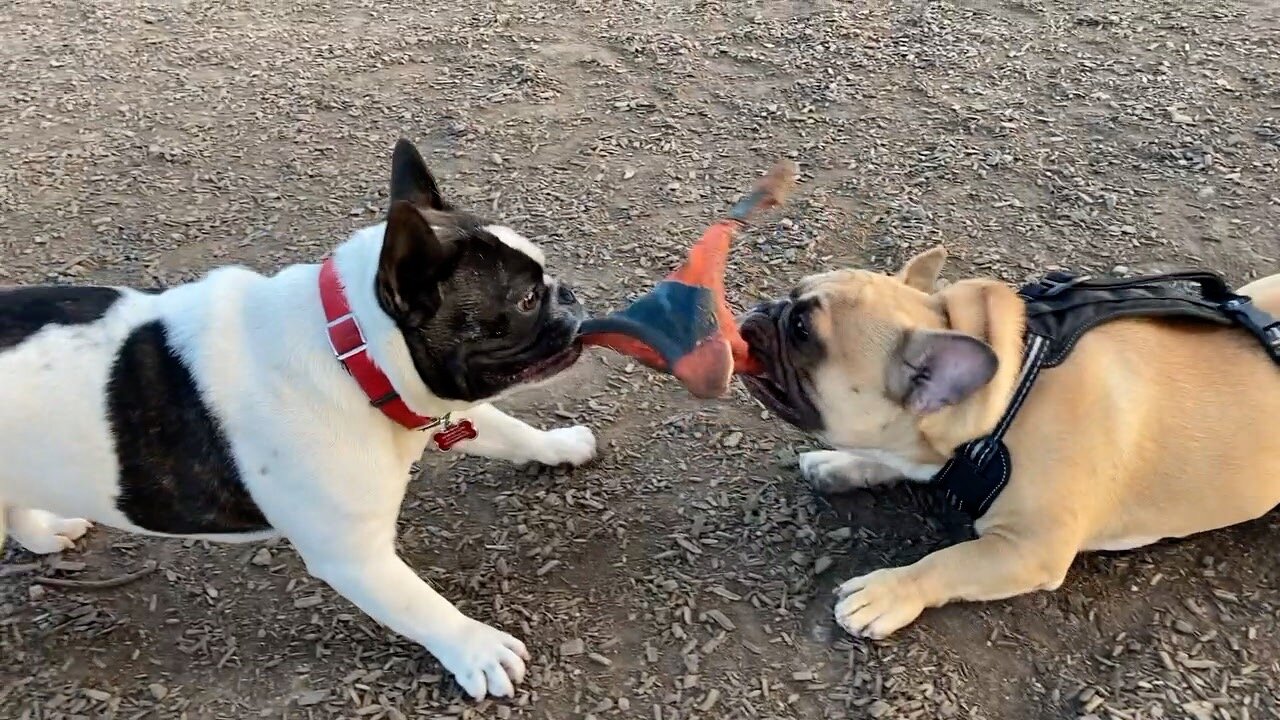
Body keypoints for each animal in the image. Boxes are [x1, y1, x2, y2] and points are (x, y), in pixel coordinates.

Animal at [0, 139, 596, 696]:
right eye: (525, 300)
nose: (567, 291)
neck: (352, 354)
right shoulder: (355, 558)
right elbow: (419, 605)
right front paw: (477, 649)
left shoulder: (435, 408)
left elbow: (506, 429)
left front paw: (559, 444)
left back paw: (46, 531)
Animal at [737, 248, 1280, 638]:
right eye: (792, 296)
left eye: (802, 330)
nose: (761, 310)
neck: (1008, 399)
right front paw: (841, 463)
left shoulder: (1028, 549)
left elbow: (949, 561)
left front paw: (888, 593)